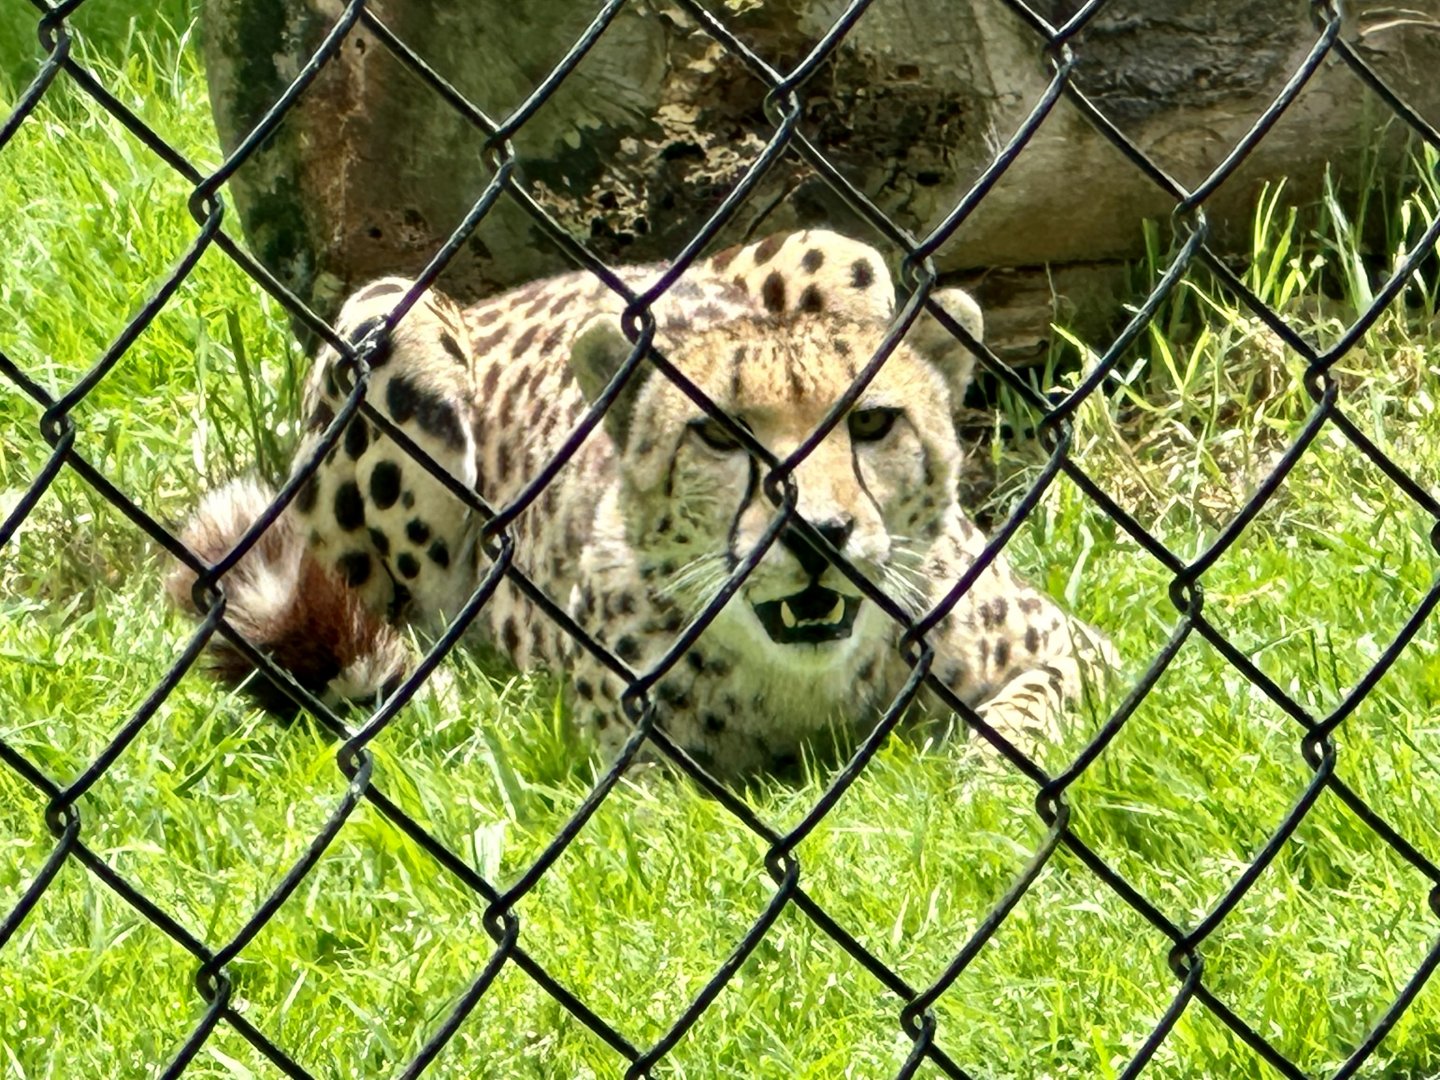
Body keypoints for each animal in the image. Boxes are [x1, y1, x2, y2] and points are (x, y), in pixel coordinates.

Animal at [167, 229, 1115, 778]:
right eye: (719, 438)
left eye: (874, 423)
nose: (818, 534)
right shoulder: (637, 778)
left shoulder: (1080, 647)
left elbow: (1038, 702)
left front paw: (989, 777)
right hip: (389, 323)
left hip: (842, 251)